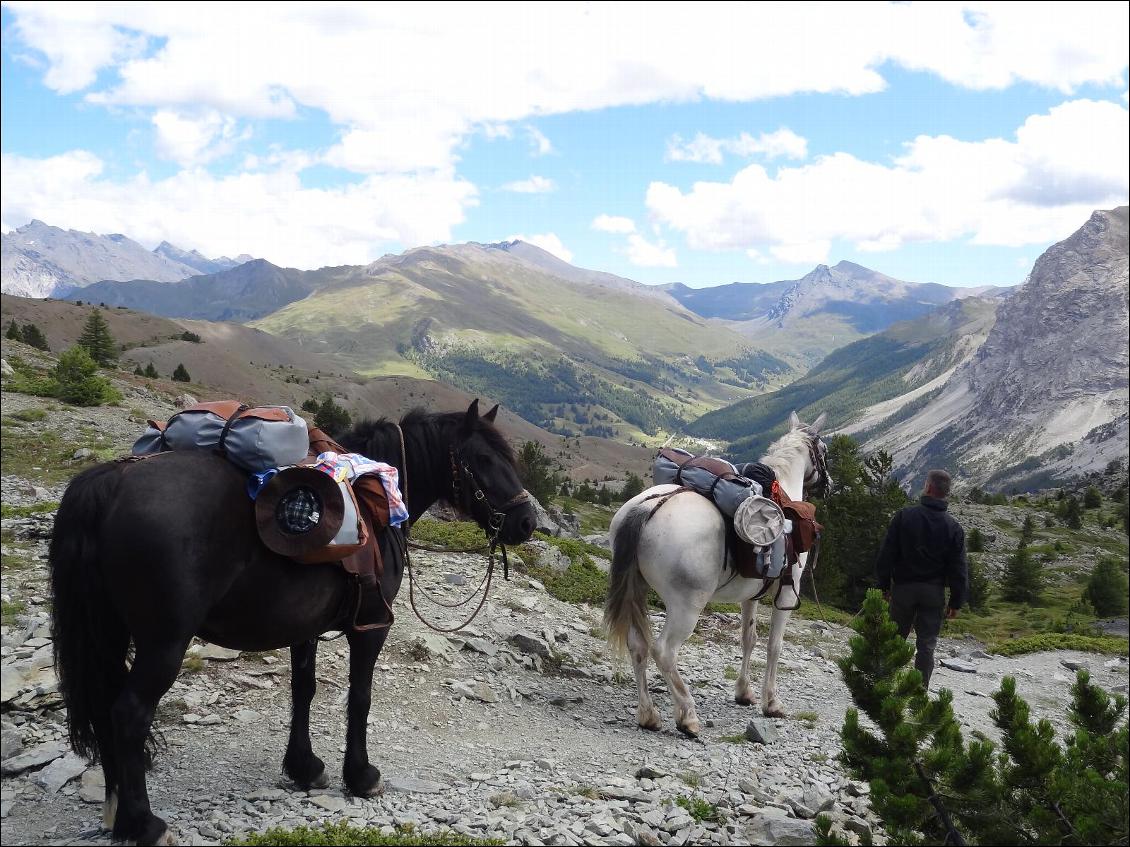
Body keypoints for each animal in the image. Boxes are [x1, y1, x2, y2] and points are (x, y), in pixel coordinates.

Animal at [47, 402, 533, 844]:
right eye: (483, 460)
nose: (526, 521)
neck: (378, 497)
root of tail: (113, 482)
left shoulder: (306, 628)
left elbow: (304, 689)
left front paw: (305, 767)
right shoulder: (372, 626)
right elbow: (360, 698)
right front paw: (361, 775)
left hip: (110, 633)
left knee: (105, 708)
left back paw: (116, 813)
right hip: (163, 643)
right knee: (128, 714)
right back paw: (144, 825)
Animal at [610, 415, 831, 740]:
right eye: (824, 450)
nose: (829, 484)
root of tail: (647, 507)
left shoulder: (751, 596)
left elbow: (749, 639)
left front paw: (744, 693)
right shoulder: (787, 593)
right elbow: (774, 646)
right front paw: (771, 703)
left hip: (638, 589)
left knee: (637, 646)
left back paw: (648, 715)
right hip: (686, 606)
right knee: (663, 651)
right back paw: (687, 715)